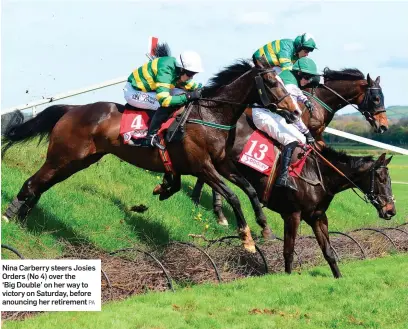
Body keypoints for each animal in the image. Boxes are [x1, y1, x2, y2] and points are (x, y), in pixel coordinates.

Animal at [1, 58, 298, 251]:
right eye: (271, 81)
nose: (294, 112)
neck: (211, 116)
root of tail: (73, 109)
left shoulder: (222, 164)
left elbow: (249, 188)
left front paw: (264, 226)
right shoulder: (202, 166)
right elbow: (234, 196)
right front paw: (246, 238)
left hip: (76, 161)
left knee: (40, 185)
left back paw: (21, 217)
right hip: (63, 157)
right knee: (33, 182)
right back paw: (9, 216)